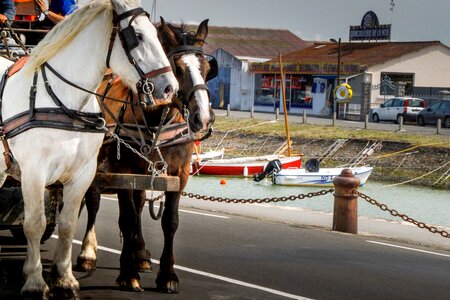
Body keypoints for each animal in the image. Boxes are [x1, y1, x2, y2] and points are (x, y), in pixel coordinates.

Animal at [0, 0, 178, 298]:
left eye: (156, 34)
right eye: (137, 36)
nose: (169, 88)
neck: (65, 101)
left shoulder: (83, 173)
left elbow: (68, 224)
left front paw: (65, 280)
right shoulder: (33, 172)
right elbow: (34, 224)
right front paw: (35, 282)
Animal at [75, 18, 216, 292]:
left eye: (206, 68)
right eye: (178, 69)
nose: (203, 118)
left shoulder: (179, 173)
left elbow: (169, 221)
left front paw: (167, 275)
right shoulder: (123, 170)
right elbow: (127, 219)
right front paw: (127, 273)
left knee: (139, 202)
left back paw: (139, 254)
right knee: (93, 200)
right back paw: (88, 254)